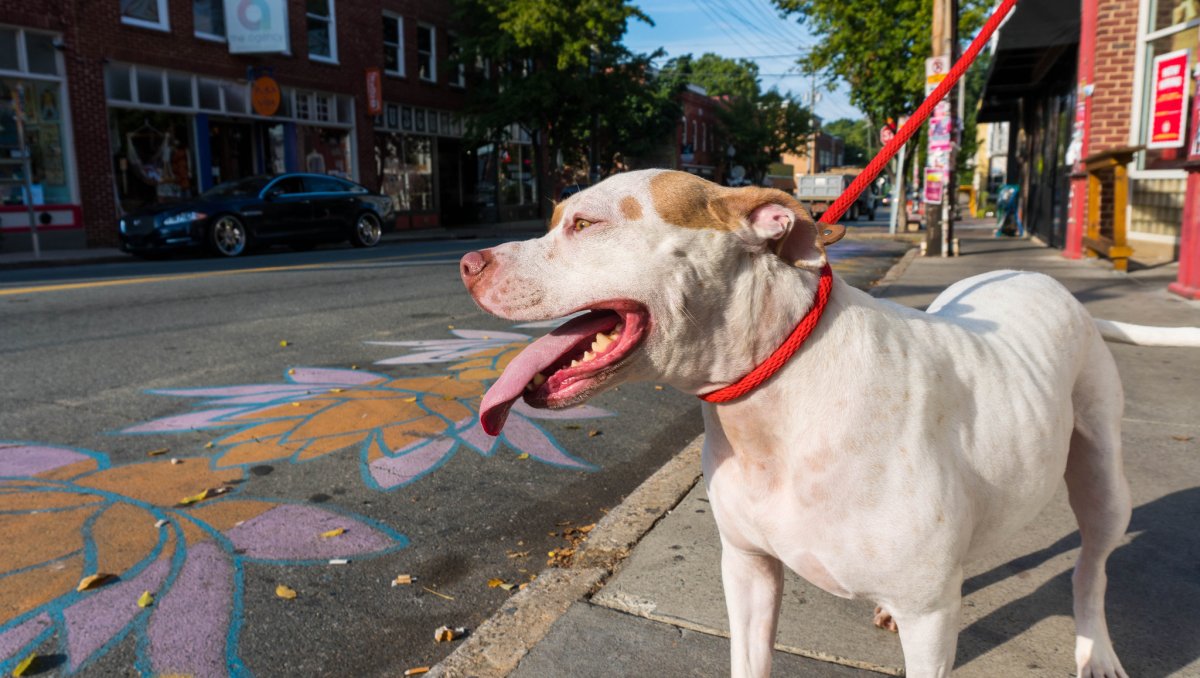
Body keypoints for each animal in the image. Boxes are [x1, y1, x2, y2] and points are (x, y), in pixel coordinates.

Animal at [458, 169, 1200, 676]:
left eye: (584, 224)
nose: (468, 262)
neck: (776, 406)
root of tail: (1048, 284)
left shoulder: (932, 621)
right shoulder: (748, 570)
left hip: (1101, 477)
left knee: (1091, 569)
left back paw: (1095, 650)